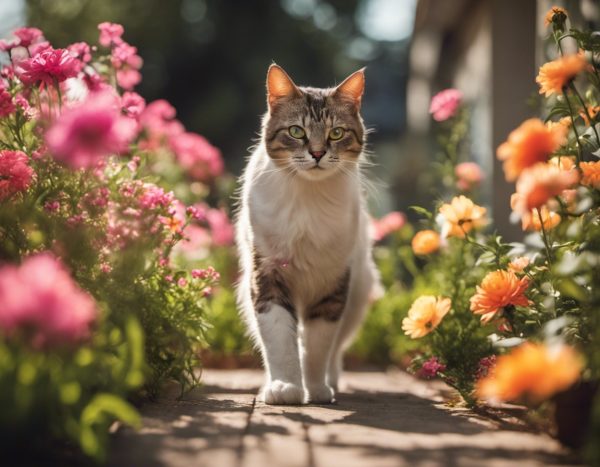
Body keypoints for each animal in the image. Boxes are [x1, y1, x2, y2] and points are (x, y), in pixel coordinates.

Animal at [234, 64, 380, 404]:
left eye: (336, 133)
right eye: (296, 132)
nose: (316, 153)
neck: (307, 200)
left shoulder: (333, 283)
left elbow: (318, 346)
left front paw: (315, 389)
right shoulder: (267, 274)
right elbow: (278, 339)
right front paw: (286, 387)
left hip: (359, 291)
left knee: (335, 349)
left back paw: (331, 381)